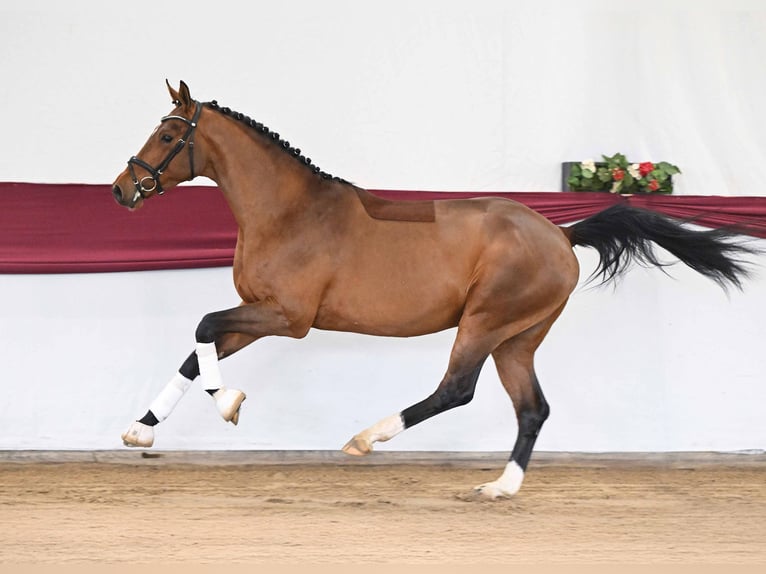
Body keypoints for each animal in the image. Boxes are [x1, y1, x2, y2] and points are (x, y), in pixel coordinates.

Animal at [111, 80, 755, 499]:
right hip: (517, 338)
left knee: (457, 389)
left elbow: (203, 330)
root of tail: (561, 234)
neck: (289, 212)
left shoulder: (287, 318)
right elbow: (198, 352)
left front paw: (229, 405)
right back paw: (500, 487)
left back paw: (367, 438)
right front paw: (141, 430)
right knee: (532, 407)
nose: (122, 190)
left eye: (167, 134)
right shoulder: (258, 313)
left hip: (485, 322)